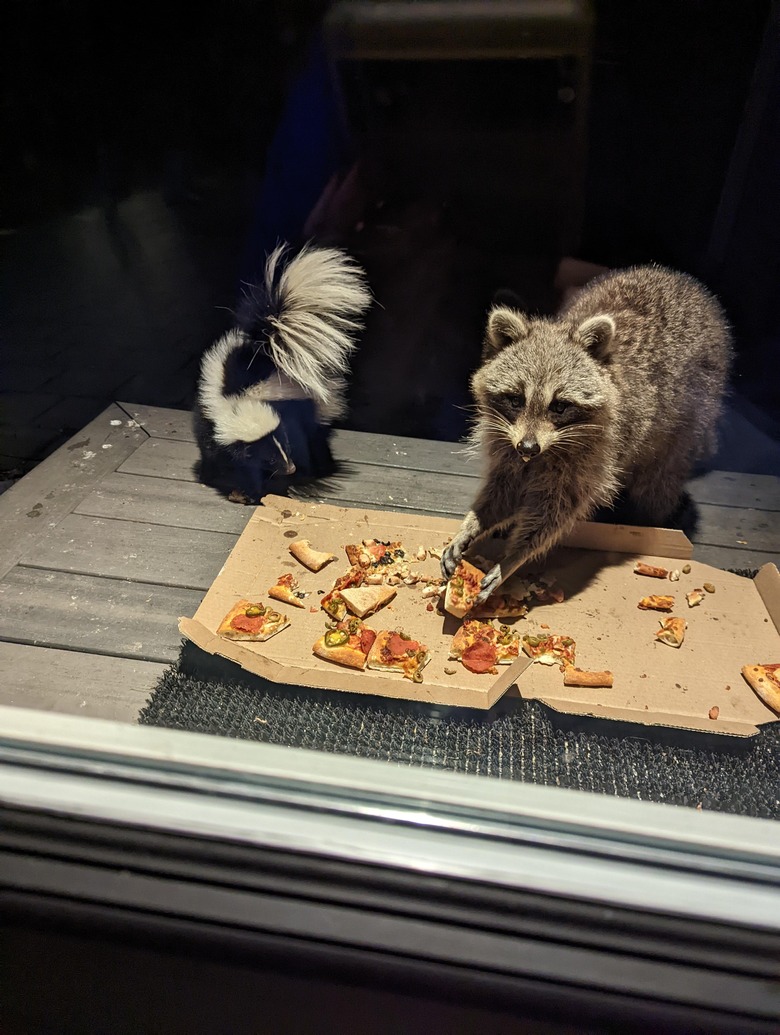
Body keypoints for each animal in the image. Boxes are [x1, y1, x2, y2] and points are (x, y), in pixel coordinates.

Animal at [190, 242, 368, 500]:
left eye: (285, 445)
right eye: (269, 457)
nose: (290, 467)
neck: (239, 400)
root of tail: (266, 346)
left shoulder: (289, 413)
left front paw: (255, 490)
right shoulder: (209, 419)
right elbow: (213, 451)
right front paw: (214, 475)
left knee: (316, 438)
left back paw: (318, 469)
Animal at [440, 262, 732, 600]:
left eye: (559, 406)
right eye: (515, 399)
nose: (528, 448)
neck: (546, 450)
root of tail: (681, 279)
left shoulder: (594, 455)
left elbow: (554, 513)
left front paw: (513, 558)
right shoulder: (506, 442)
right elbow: (504, 490)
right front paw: (475, 522)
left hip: (687, 421)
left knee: (658, 483)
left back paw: (650, 517)